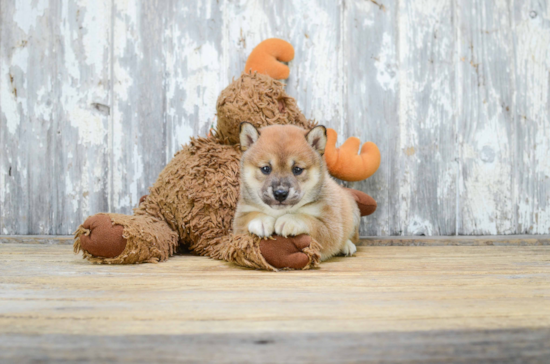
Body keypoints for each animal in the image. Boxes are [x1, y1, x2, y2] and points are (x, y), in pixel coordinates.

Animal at [234, 123, 360, 260]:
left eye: (297, 169)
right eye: (266, 168)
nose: (280, 193)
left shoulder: (330, 226)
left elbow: (310, 220)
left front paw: (290, 220)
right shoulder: (240, 217)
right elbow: (251, 216)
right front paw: (261, 221)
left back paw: (347, 246)